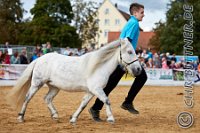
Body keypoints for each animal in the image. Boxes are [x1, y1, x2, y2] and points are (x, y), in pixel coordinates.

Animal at [5, 38, 141, 123]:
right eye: (130, 51)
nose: (139, 69)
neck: (98, 66)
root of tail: (39, 59)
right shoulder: (96, 89)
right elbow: (107, 100)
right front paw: (111, 118)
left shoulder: (91, 91)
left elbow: (83, 105)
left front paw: (73, 119)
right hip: (37, 84)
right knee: (27, 98)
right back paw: (21, 117)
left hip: (54, 87)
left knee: (47, 98)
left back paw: (55, 116)